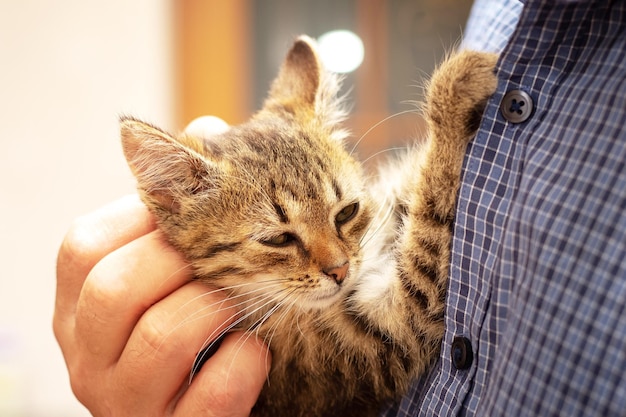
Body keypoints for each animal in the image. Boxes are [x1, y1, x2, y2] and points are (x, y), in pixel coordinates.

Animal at [119, 35, 494, 416]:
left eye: (346, 212)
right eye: (278, 239)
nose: (340, 271)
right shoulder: (385, 331)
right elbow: (433, 215)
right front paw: (453, 91)